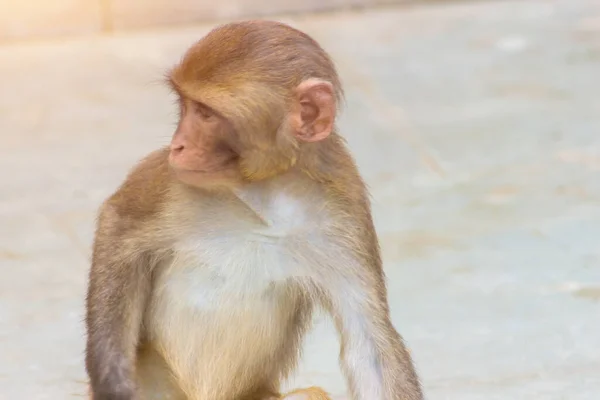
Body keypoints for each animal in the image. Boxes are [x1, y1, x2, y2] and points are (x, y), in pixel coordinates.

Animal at [84, 19, 424, 400]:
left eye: (205, 113)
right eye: (185, 105)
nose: (177, 146)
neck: (264, 194)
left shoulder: (344, 210)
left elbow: (368, 346)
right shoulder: (173, 185)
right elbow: (118, 225)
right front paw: (112, 380)